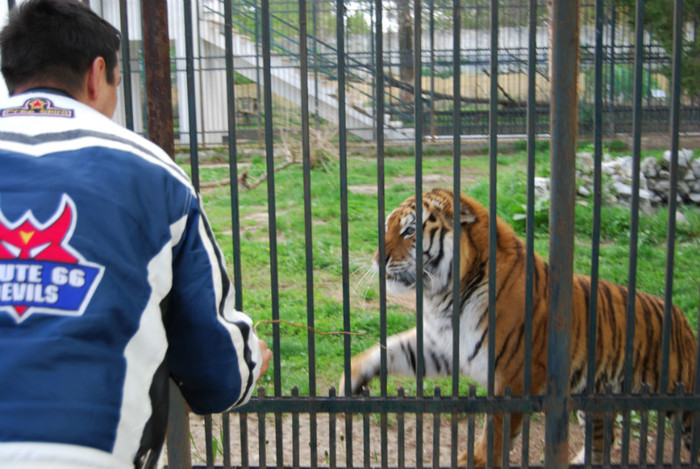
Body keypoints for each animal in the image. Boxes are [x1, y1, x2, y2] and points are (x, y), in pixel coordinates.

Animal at [338, 187, 696, 464]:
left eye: (410, 231)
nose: (377, 260)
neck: (444, 297)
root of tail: (681, 316)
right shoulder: (442, 346)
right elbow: (389, 348)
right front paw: (348, 381)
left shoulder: (515, 375)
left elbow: (494, 431)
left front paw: (475, 461)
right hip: (592, 395)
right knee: (602, 435)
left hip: (676, 395)